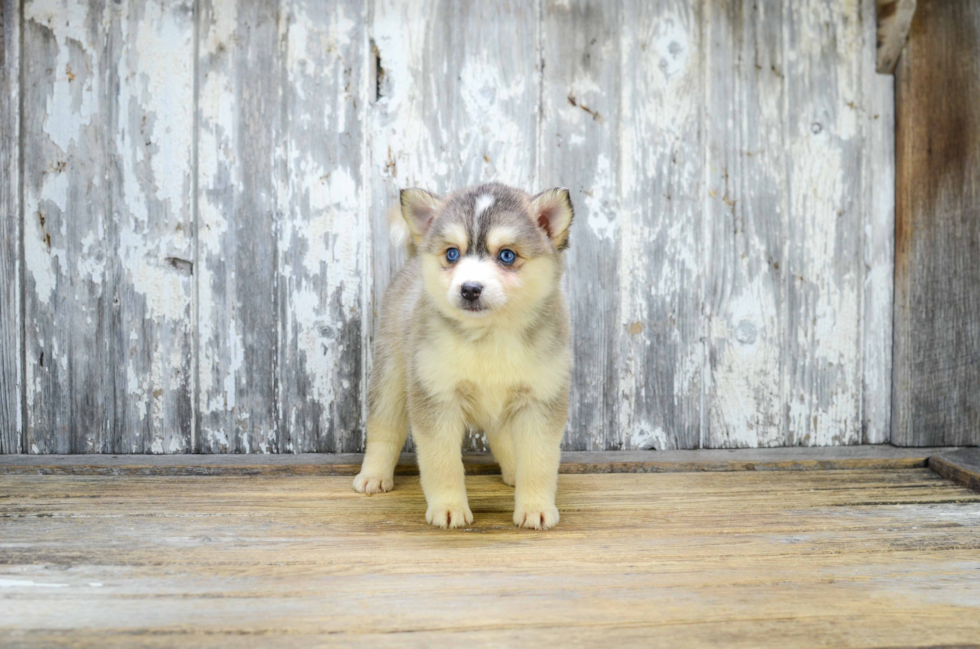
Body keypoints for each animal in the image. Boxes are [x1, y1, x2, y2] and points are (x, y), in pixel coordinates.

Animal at [354, 181, 576, 528]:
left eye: (507, 255)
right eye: (452, 253)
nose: (470, 289)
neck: (490, 335)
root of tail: (412, 260)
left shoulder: (539, 399)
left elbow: (539, 462)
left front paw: (536, 508)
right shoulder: (437, 397)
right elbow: (442, 463)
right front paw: (448, 508)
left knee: (501, 435)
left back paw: (512, 470)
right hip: (391, 376)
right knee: (384, 427)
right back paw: (374, 476)